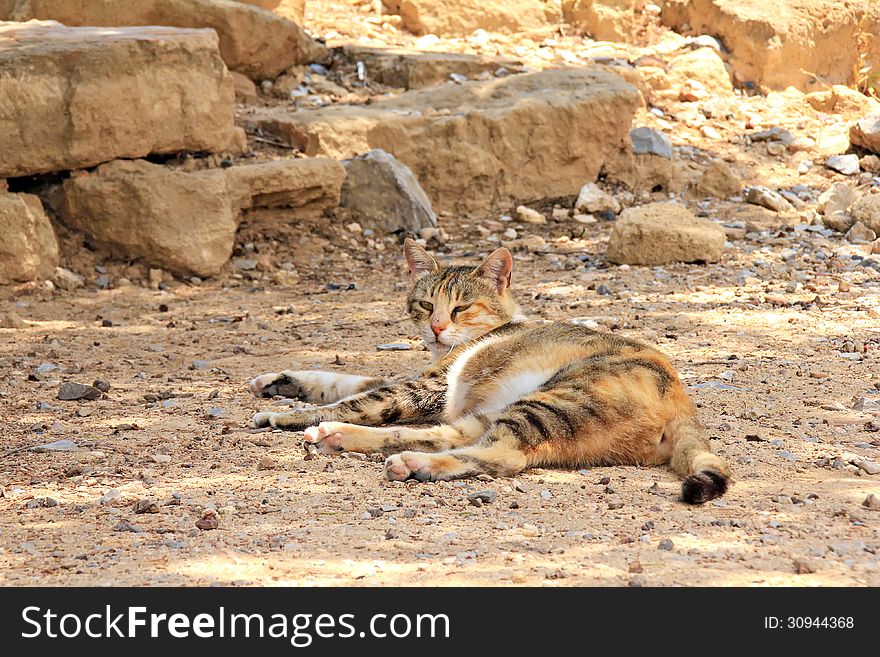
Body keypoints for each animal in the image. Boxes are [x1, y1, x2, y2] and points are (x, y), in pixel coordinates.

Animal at [251, 238, 732, 504]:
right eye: (425, 303)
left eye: (461, 307)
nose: (436, 327)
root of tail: (684, 403)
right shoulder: (424, 382)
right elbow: (339, 381)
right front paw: (276, 383)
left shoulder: (425, 386)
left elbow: (357, 398)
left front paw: (289, 414)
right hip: (497, 410)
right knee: (445, 436)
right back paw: (342, 438)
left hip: (551, 399)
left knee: (502, 456)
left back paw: (411, 464)